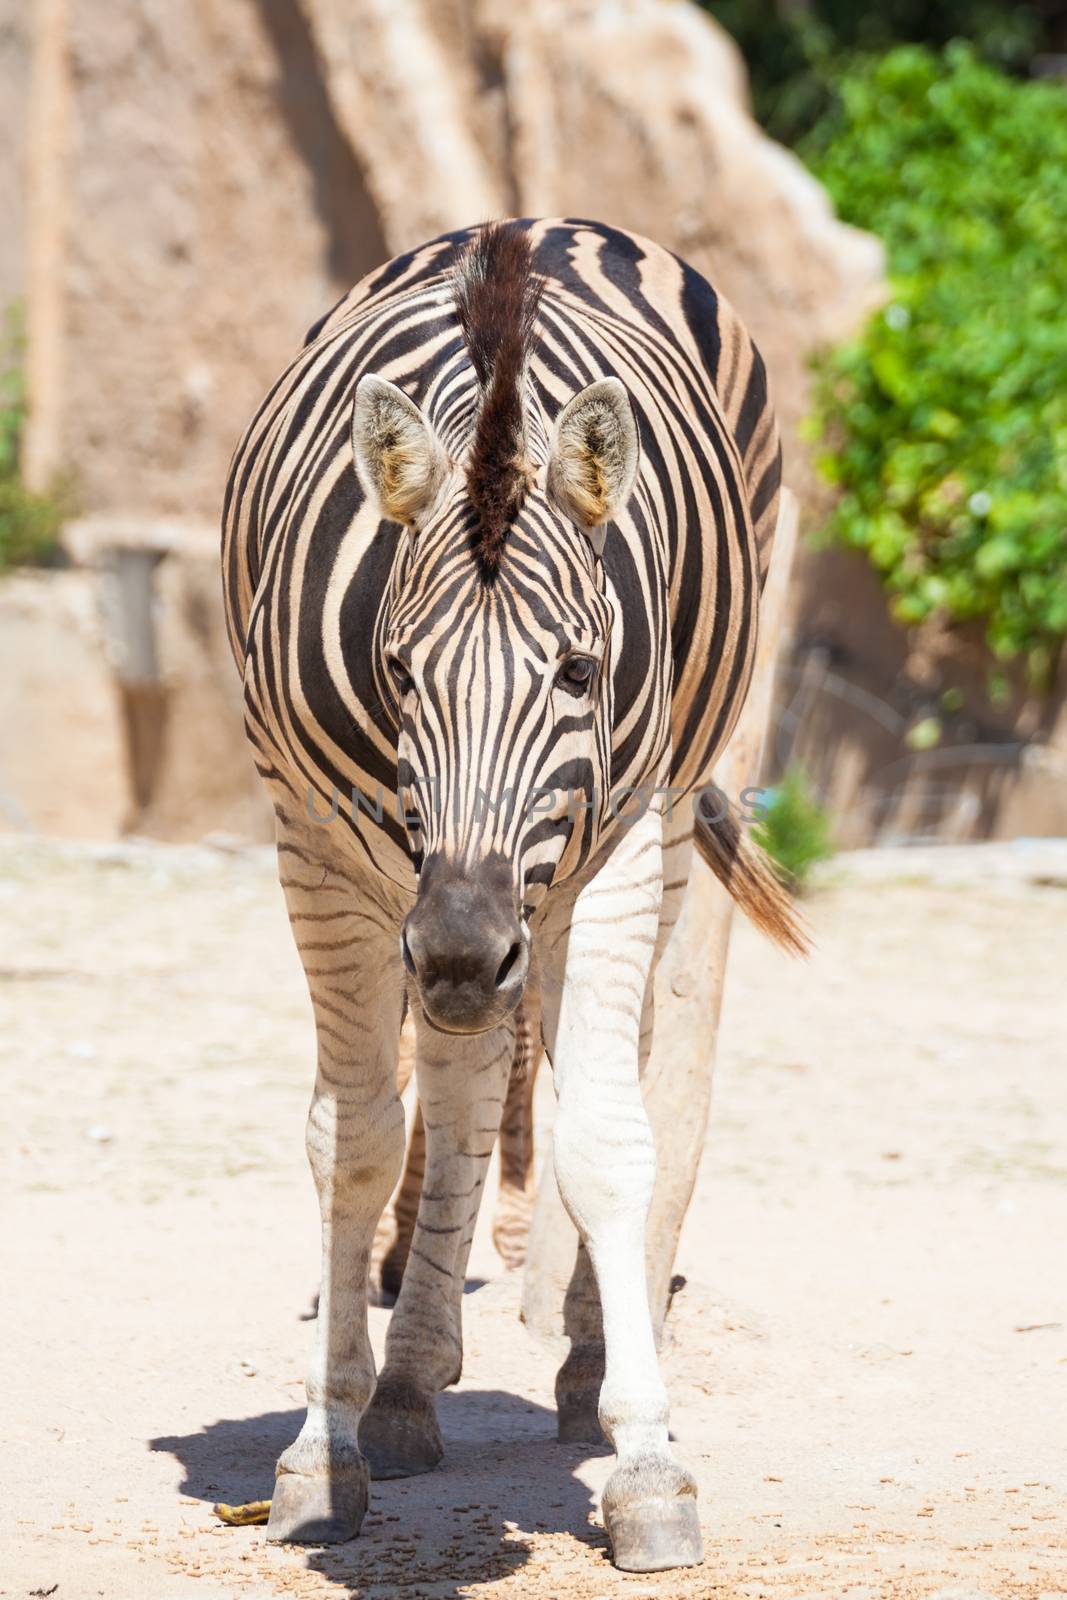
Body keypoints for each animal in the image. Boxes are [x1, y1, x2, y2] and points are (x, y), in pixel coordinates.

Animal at [220, 216, 799, 1574]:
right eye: (395, 668)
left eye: (580, 669)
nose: (460, 949)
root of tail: (544, 224)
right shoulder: (316, 846)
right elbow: (354, 1138)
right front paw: (324, 1446)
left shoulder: (619, 834)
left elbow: (607, 1136)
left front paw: (647, 1466)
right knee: (462, 1083)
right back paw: (406, 1383)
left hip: (652, 832)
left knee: (605, 1067)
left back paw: (583, 1357)